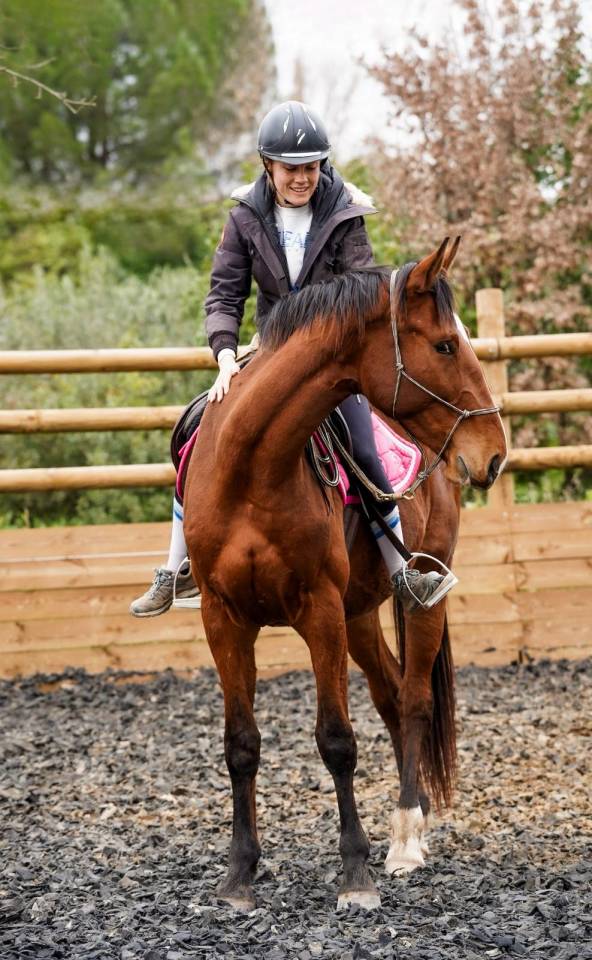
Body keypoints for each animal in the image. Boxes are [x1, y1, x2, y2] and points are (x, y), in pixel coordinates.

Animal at [183, 238, 507, 911]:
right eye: (445, 345)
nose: (493, 452)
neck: (253, 469)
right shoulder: (223, 618)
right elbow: (240, 744)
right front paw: (239, 874)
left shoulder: (320, 612)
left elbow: (336, 740)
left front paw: (355, 872)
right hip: (359, 615)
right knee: (390, 696)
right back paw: (416, 819)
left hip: (418, 600)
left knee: (414, 701)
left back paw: (406, 838)